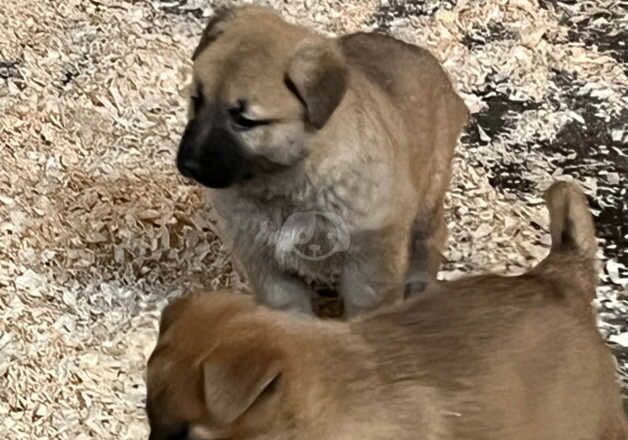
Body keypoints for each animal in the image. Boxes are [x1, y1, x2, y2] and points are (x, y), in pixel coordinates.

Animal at [175, 6, 466, 316]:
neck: (285, 182)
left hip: (429, 193)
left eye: (244, 120)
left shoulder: (371, 258)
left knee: (432, 236)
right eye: (196, 99)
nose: (188, 166)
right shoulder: (264, 262)